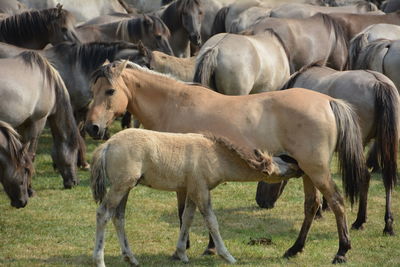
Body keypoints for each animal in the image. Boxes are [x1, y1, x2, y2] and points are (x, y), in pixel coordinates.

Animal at [84, 60, 368, 264]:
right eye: (92, 90)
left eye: (110, 90)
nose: (92, 128)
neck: (175, 104)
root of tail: (328, 101)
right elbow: (193, 212)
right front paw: (203, 247)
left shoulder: (185, 179)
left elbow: (185, 212)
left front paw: (191, 248)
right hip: (307, 172)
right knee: (312, 206)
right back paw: (294, 249)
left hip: (316, 170)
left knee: (336, 202)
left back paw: (342, 251)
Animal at [256, 65, 400, 237]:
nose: (260, 201)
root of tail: (379, 83)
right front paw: (325, 206)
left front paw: (319, 211)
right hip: (385, 144)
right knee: (387, 179)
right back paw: (388, 224)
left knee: (365, 176)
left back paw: (360, 220)